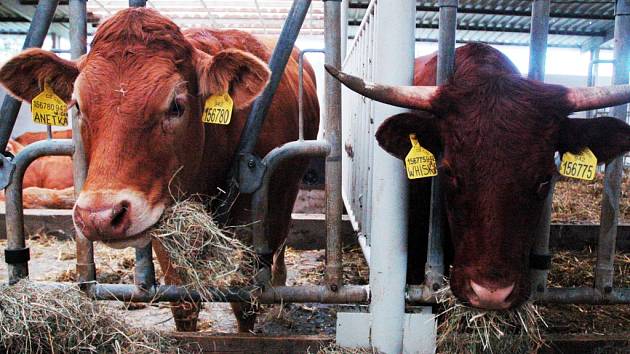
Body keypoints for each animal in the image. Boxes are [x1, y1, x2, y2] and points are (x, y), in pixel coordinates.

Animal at [0, 6, 318, 332]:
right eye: (77, 105)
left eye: (176, 106)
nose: (99, 217)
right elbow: (184, 302)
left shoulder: (263, 218)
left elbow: (245, 302)